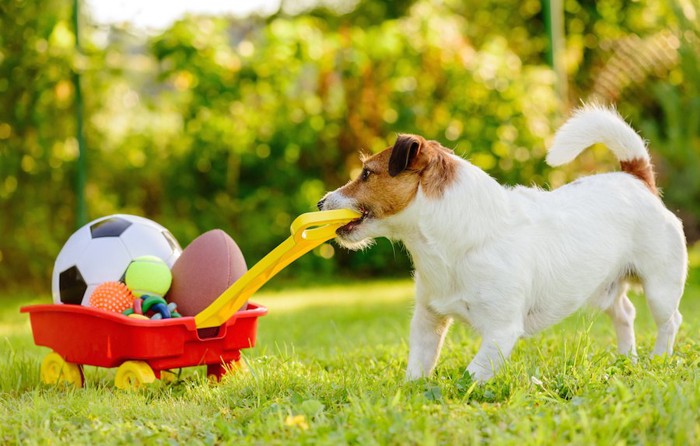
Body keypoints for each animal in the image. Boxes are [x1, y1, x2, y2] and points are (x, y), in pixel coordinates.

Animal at [318, 104, 688, 380]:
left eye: (367, 173)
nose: (321, 203)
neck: (450, 242)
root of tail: (636, 179)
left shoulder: (500, 330)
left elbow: (473, 372)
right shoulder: (427, 320)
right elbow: (419, 365)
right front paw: (412, 391)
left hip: (660, 287)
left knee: (670, 321)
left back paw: (658, 358)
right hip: (603, 288)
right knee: (625, 313)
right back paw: (627, 358)